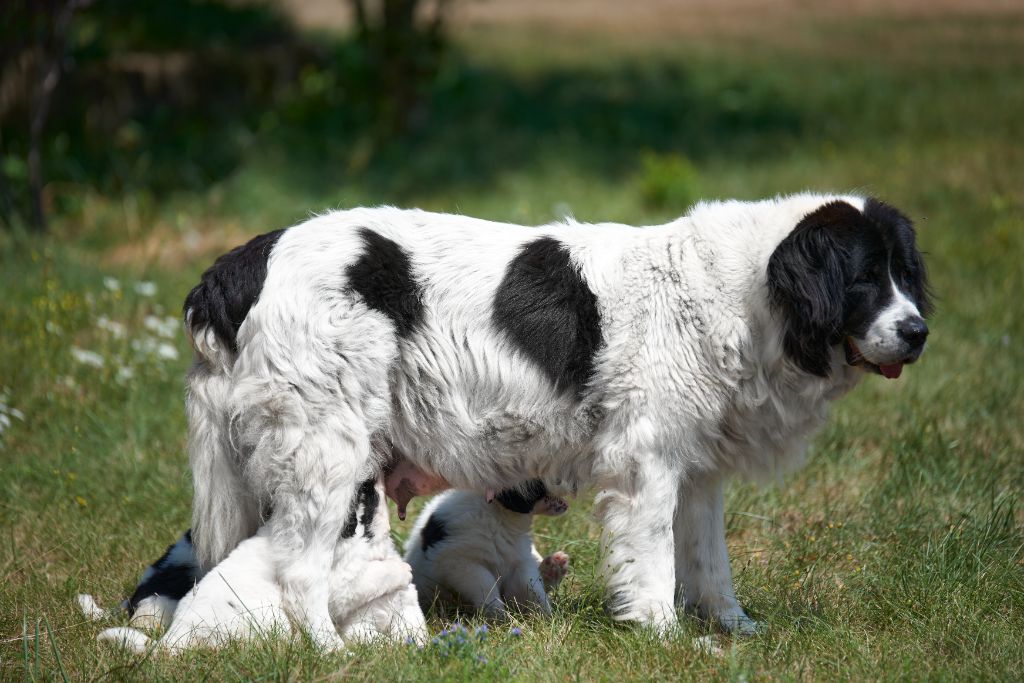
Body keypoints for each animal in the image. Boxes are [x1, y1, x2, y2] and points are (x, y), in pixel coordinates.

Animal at [403, 481, 573, 618]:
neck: (498, 514)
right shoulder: (461, 563)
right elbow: (485, 586)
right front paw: (499, 616)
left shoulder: (519, 560)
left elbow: (531, 588)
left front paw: (546, 617)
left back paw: (553, 568)